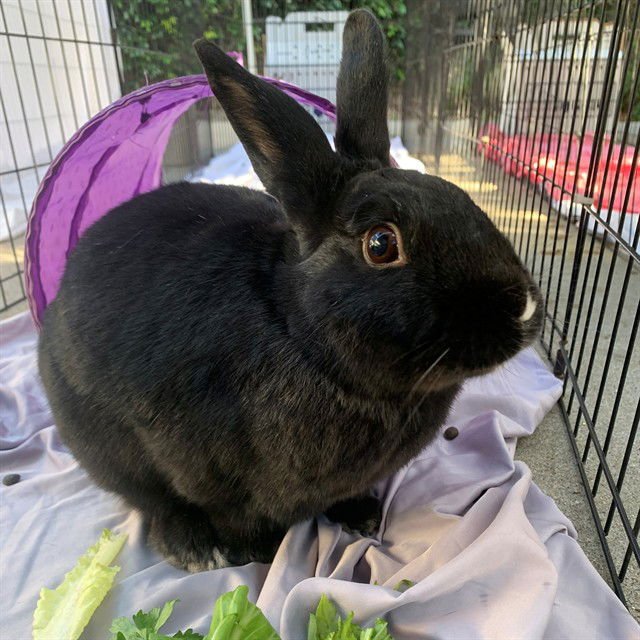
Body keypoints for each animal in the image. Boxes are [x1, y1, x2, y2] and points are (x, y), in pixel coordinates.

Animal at [38, 9, 543, 572]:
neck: (296, 332)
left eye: (459, 198)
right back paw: (193, 547)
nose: (523, 308)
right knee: (150, 500)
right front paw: (258, 554)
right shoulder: (204, 473)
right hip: (105, 445)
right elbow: (231, 514)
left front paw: (362, 515)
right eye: (381, 244)